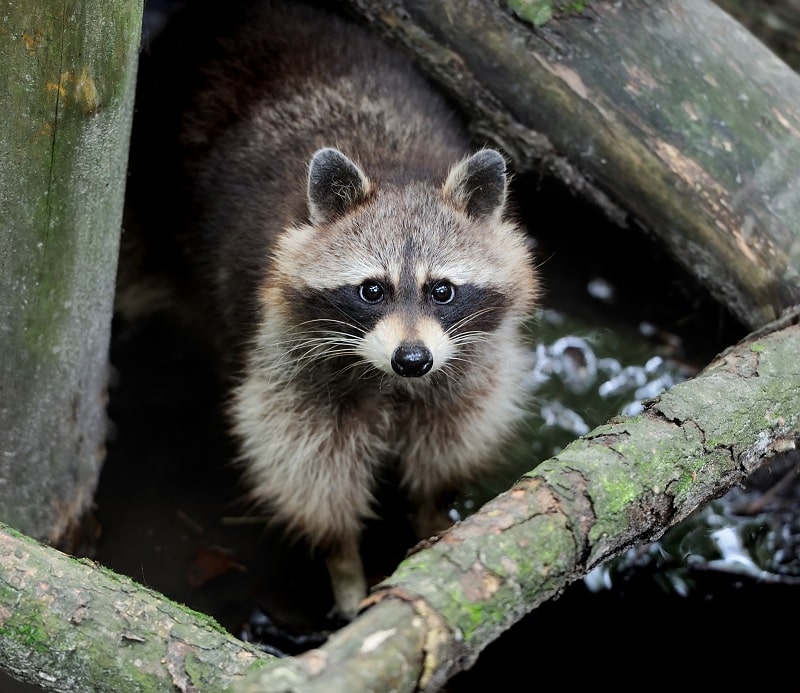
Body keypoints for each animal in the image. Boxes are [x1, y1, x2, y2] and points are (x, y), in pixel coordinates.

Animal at [120, 0, 536, 616]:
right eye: (372, 290)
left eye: (442, 290)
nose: (412, 360)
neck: (396, 172)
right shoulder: (284, 359)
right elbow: (307, 467)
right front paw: (344, 563)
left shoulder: (468, 361)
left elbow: (452, 436)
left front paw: (434, 513)